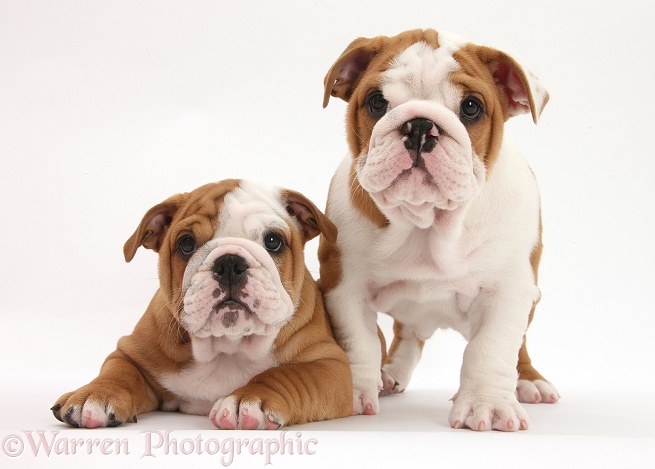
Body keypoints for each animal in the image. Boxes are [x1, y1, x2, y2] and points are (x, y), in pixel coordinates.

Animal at [51, 178, 354, 428]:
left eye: (273, 240)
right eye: (186, 243)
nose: (230, 262)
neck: (227, 347)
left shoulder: (330, 366)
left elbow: (288, 375)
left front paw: (249, 399)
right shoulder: (131, 353)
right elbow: (118, 373)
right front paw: (94, 395)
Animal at [318, 28, 560, 432]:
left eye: (471, 107)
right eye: (376, 102)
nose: (419, 125)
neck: (426, 223)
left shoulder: (508, 292)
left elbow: (492, 348)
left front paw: (487, 404)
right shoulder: (343, 285)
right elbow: (358, 341)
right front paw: (352, 391)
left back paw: (528, 381)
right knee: (406, 335)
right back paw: (391, 374)